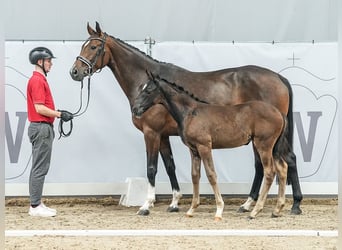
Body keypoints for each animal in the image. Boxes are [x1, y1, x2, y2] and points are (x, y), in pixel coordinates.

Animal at [132, 73, 290, 220]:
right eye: (141, 88)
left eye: (149, 90)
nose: (135, 109)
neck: (191, 112)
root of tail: (279, 113)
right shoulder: (194, 149)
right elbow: (195, 175)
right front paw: (192, 209)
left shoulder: (204, 147)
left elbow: (211, 175)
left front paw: (219, 210)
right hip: (274, 148)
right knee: (282, 168)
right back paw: (277, 209)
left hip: (264, 146)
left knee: (270, 172)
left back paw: (255, 211)